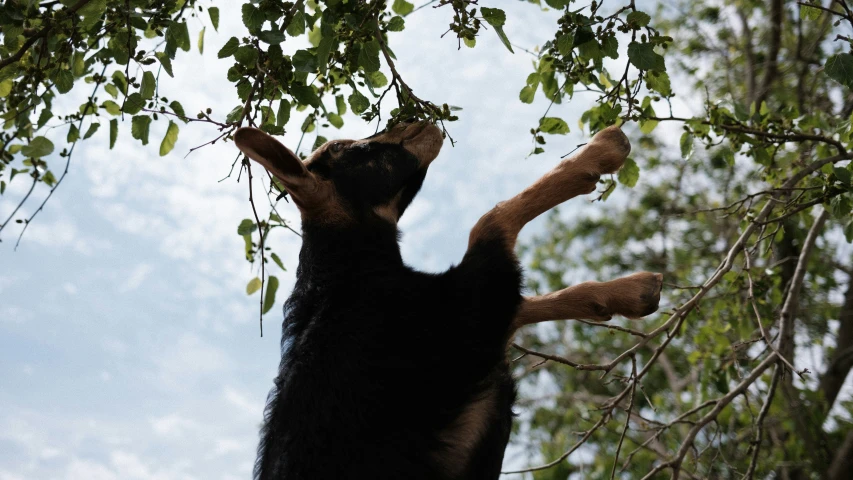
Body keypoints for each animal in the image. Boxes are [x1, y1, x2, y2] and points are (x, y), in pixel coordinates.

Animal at [236, 123, 664, 480]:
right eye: (349, 149)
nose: (417, 123)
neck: (347, 273)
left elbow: (528, 298)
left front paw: (632, 293)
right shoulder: (463, 320)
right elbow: (492, 221)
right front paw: (603, 150)